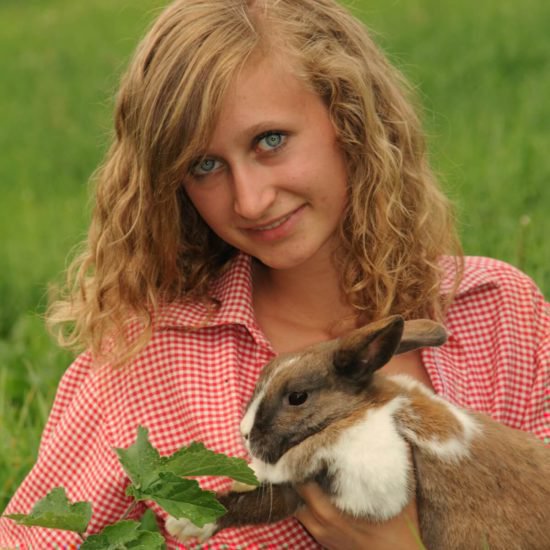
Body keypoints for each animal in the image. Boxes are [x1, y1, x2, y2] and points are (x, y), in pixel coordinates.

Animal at [167, 316, 550, 548]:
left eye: (297, 397)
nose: (244, 433)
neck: (366, 407)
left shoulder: (368, 467)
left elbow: (299, 462)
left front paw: (258, 470)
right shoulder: (299, 496)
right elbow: (260, 503)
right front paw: (186, 523)